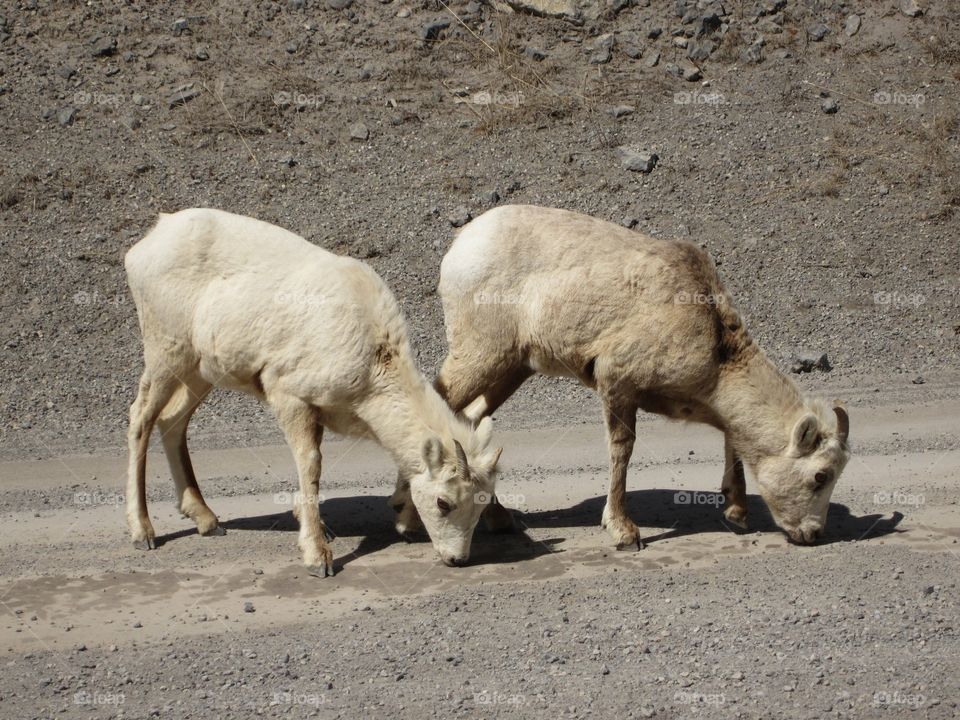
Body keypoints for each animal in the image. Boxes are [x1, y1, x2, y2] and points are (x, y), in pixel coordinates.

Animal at [124, 207, 502, 572]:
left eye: (482, 505)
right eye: (443, 502)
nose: (457, 560)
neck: (374, 361)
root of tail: (147, 242)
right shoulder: (290, 397)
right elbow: (310, 464)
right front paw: (318, 558)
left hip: (199, 371)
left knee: (172, 420)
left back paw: (206, 520)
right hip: (165, 351)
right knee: (141, 417)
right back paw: (143, 532)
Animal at [404, 205, 848, 548]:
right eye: (820, 476)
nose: (813, 535)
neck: (716, 346)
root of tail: (461, 245)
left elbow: (731, 438)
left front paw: (736, 512)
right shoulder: (616, 381)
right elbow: (623, 450)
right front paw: (623, 532)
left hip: (511, 369)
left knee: (469, 422)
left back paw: (499, 520)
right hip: (479, 356)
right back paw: (411, 520)